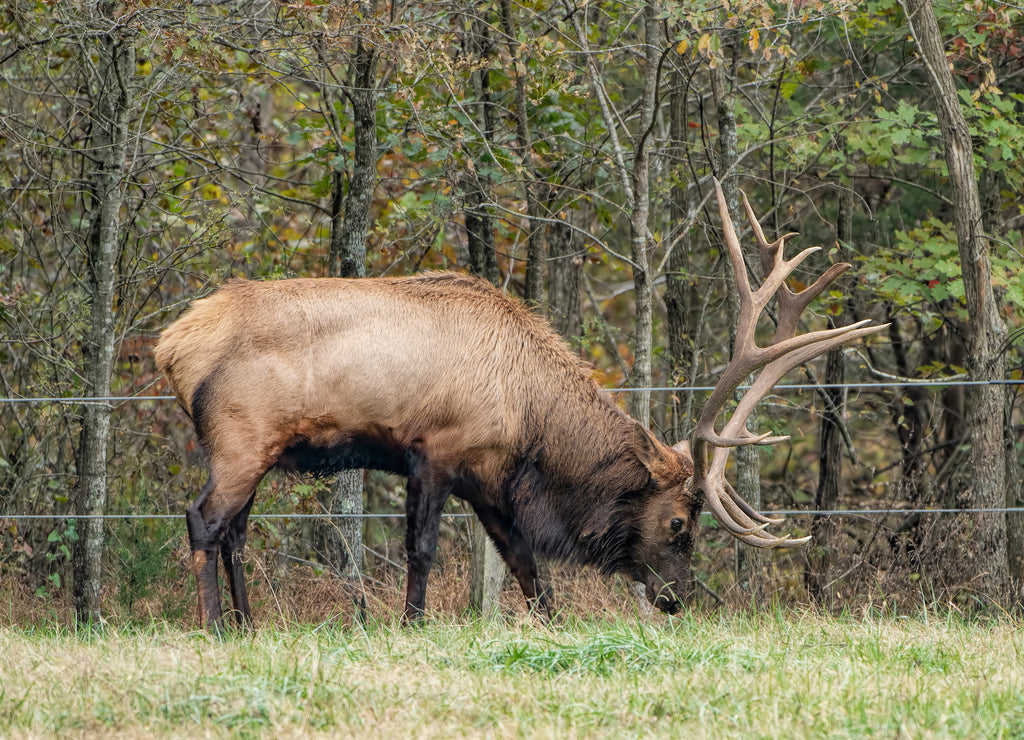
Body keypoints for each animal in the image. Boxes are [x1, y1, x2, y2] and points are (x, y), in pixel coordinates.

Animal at [155, 182, 884, 626]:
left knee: (236, 532)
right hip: (240, 439)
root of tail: (172, 346)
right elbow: (422, 550)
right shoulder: (436, 450)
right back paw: (215, 627)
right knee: (202, 520)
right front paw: (411, 625)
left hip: (258, 449)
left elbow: (525, 563)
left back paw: (250, 625)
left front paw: (552, 626)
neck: (532, 419)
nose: (675, 599)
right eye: (679, 522)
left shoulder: (488, 475)